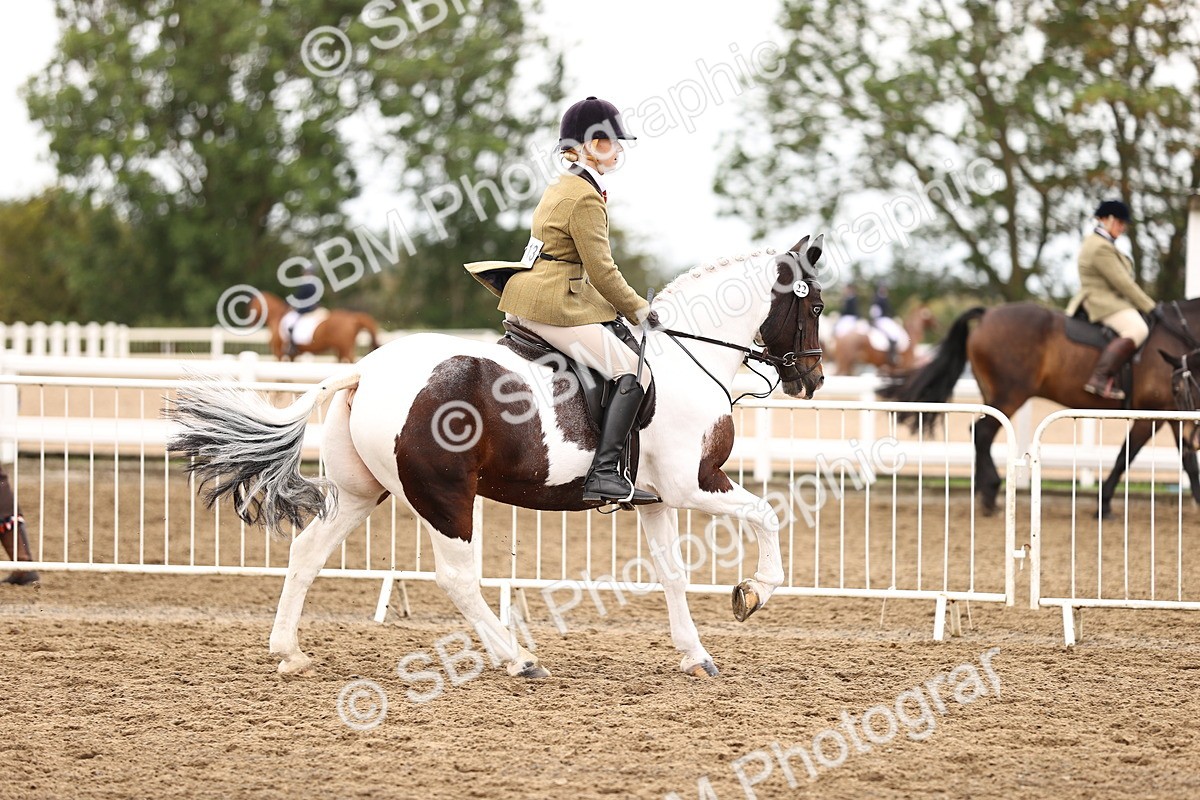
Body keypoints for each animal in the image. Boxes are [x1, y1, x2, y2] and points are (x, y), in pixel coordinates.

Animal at [250, 291, 380, 362]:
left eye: (253, 304)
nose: (252, 322)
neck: (277, 315)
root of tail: (352, 317)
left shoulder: (278, 352)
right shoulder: (292, 355)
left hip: (345, 349)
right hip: (341, 349)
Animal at [879, 301, 1200, 516]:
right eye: (1178, 385)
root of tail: (988, 314)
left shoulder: (1175, 414)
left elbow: (1187, 460)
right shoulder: (1155, 412)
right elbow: (1127, 456)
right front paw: (1104, 504)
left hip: (994, 393)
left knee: (979, 432)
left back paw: (984, 492)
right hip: (1010, 394)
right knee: (982, 433)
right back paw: (991, 493)